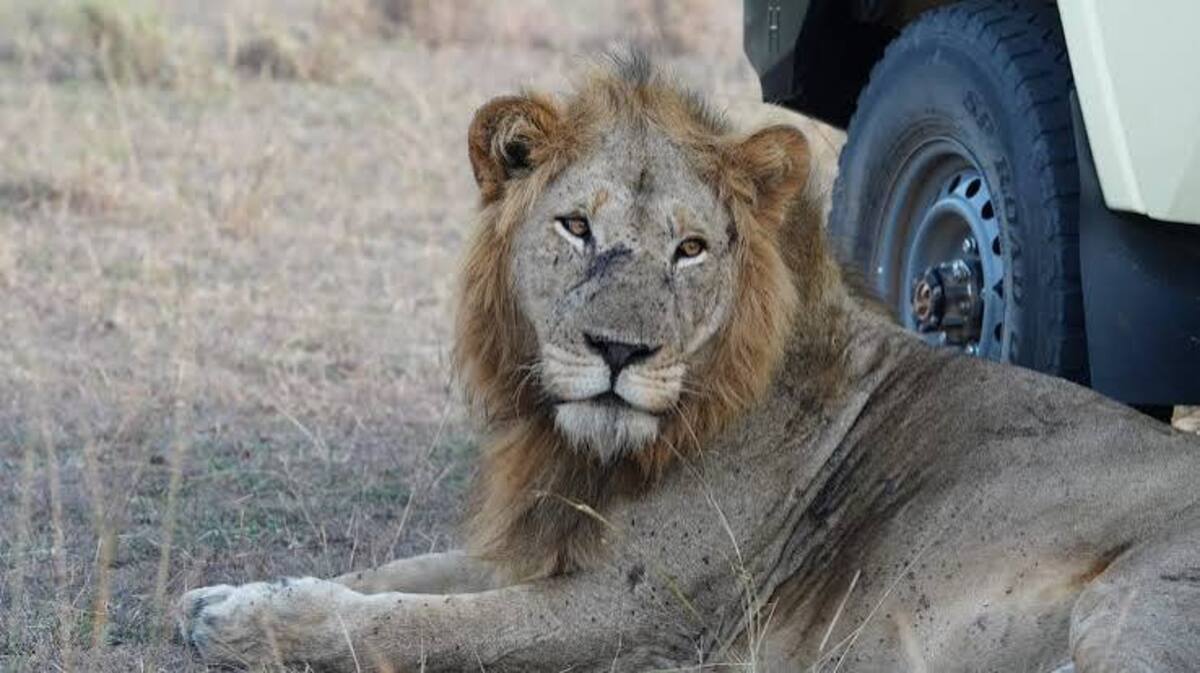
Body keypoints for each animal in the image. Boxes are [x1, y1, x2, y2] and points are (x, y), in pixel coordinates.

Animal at [177, 55, 1200, 672]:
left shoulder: (638, 608)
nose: (619, 351)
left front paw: (257, 627)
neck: (592, 452)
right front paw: (227, 597)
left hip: (1132, 605)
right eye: (576, 226)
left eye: (691, 249)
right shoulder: (546, 543)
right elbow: (397, 571)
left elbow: (423, 623)